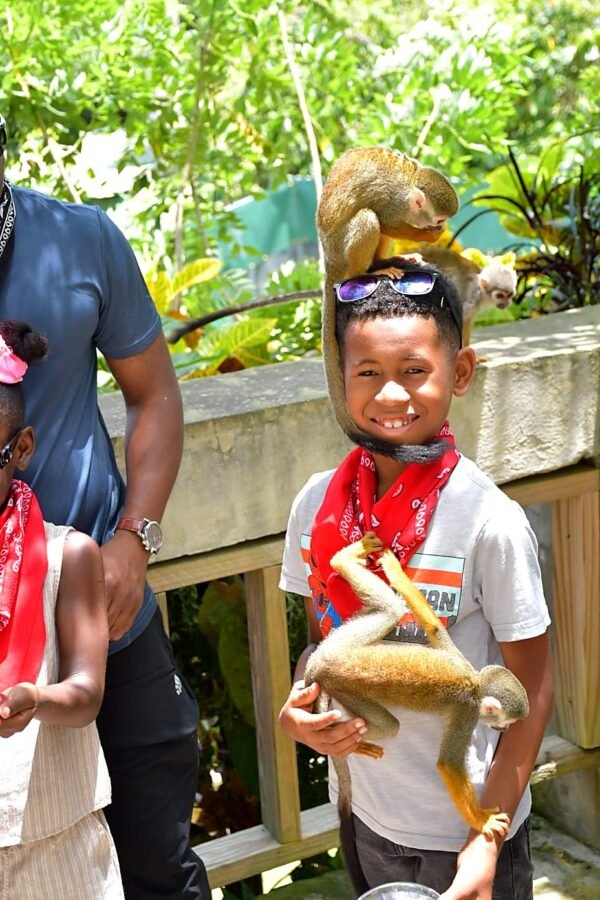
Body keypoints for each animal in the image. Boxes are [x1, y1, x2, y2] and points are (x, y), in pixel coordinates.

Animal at [304, 532, 529, 846]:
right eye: (504, 722)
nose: (504, 730)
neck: (475, 684)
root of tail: (321, 661)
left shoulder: (459, 659)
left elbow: (433, 627)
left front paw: (394, 571)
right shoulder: (467, 711)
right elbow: (448, 763)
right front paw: (482, 821)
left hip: (341, 641)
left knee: (391, 609)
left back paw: (343, 559)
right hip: (343, 687)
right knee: (389, 726)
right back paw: (345, 741)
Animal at [316, 146, 460, 437]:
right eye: (439, 219)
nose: (439, 227)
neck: (411, 186)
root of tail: (329, 259)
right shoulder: (395, 205)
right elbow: (385, 221)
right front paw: (427, 236)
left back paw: (381, 263)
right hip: (340, 249)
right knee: (369, 218)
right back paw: (368, 270)